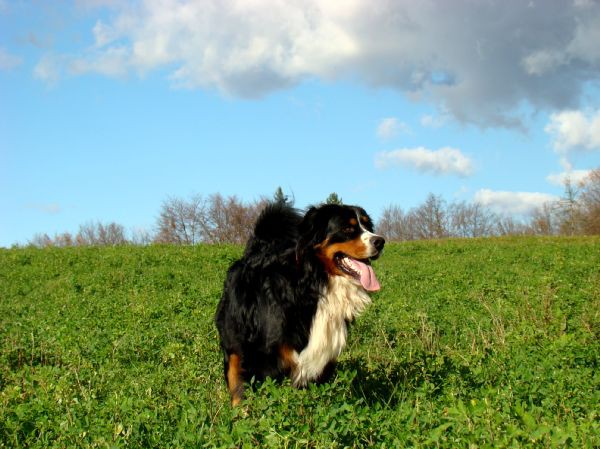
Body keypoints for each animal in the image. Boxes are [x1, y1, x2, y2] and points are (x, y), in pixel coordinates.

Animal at [214, 201, 384, 404]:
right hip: (234, 345)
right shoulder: (266, 356)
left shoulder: (322, 359)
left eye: (368, 226)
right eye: (347, 228)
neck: (314, 283)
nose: (380, 241)